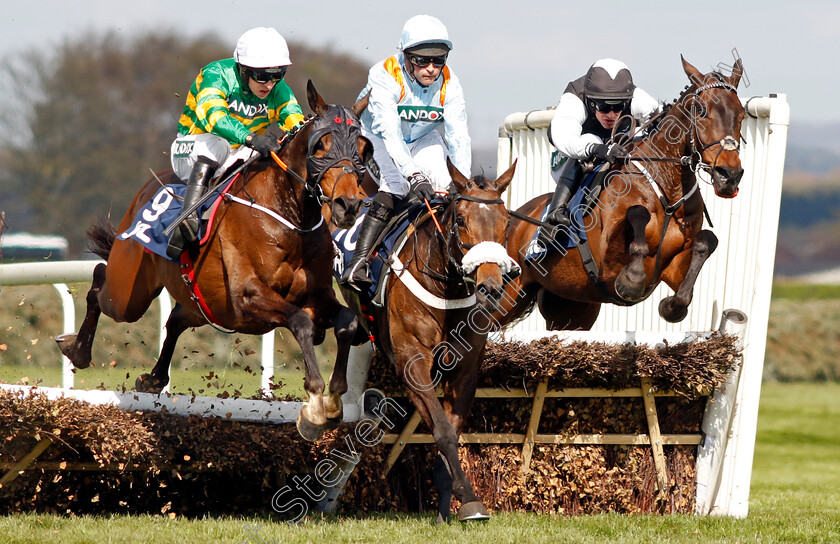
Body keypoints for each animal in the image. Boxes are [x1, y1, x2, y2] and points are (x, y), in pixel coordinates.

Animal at [55, 81, 370, 442]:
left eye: (363, 148)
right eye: (321, 146)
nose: (349, 204)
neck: (290, 217)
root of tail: (145, 190)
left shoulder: (315, 296)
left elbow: (347, 322)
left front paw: (333, 400)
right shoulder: (246, 297)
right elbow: (301, 322)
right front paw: (316, 406)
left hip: (203, 303)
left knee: (175, 320)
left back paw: (153, 378)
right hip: (130, 292)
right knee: (99, 282)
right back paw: (77, 349)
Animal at [340, 162, 520, 524]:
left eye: (506, 221)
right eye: (461, 220)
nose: (491, 288)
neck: (445, 290)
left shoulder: (465, 369)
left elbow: (450, 427)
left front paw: (450, 505)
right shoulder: (412, 361)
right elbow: (443, 430)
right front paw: (470, 500)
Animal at [496, 58, 744, 332]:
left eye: (742, 114)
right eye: (701, 111)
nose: (729, 175)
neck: (667, 190)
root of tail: (515, 218)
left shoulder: (672, 269)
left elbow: (706, 243)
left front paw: (670, 307)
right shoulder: (607, 265)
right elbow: (637, 214)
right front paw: (632, 279)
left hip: (571, 309)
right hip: (507, 296)